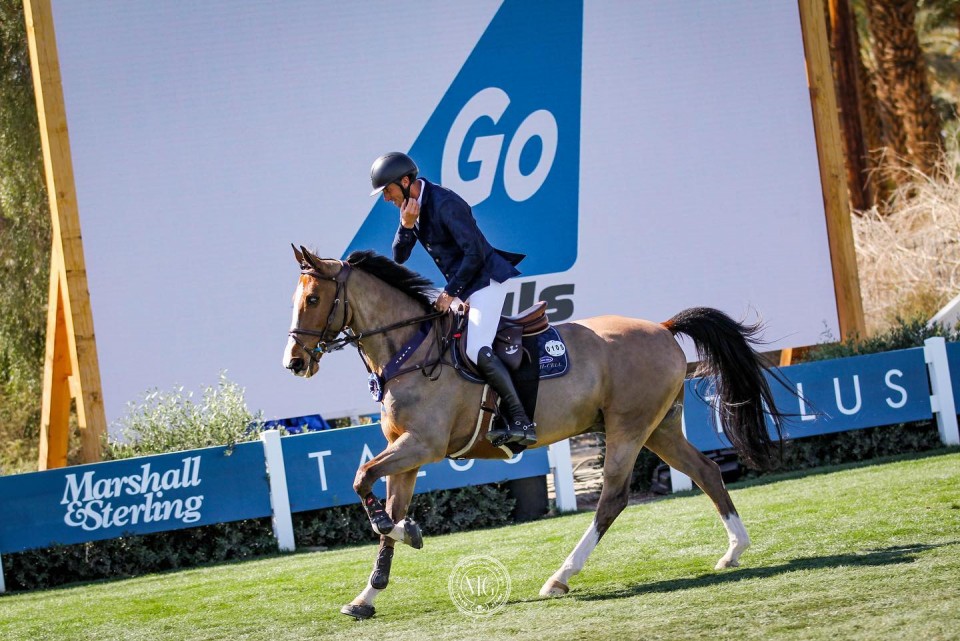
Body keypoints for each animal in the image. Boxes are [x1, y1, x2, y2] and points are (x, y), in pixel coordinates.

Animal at [280, 245, 788, 616]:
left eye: (313, 299)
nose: (294, 363)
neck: (410, 349)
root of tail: (662, 328)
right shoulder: (402, 451)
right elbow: (382, 508)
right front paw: (368, 594)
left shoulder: (422, 445)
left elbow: (362, 480)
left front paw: (407, 532)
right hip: (659, 428)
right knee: (705, 471)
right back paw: (734, 550)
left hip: (628, 427)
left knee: (613, 498)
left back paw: (560, 577)